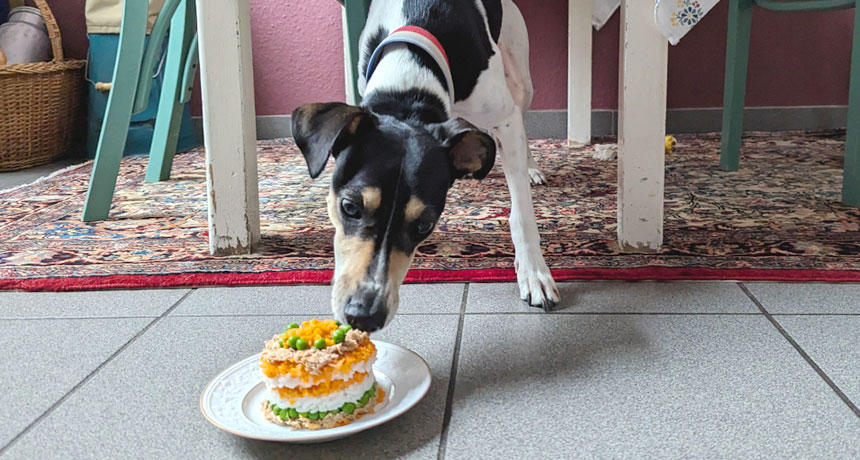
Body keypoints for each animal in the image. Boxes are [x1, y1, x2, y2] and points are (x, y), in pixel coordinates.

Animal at [292, 0, 556, 330]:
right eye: (349, 207)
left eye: (425, 225)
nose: (364, 315)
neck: (408, 84)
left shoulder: (504, 116)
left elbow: (521, 212)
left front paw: (534, 273)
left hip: (520, 74)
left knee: (521, 116)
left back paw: (530, 166)